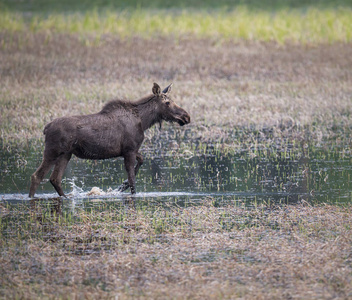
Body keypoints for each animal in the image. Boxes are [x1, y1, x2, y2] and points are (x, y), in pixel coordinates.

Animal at [29, 83, 191, 198]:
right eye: (168, 102)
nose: (186, 116)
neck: (144, 121)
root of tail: (46, 128)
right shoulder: (129, 150)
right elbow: (132, 179)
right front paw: (125, 187)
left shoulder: (130, 150)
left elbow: (141, 161)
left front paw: (122, 186)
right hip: (52, 151)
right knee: (37, 176)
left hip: (66, 154)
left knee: (55, 179)